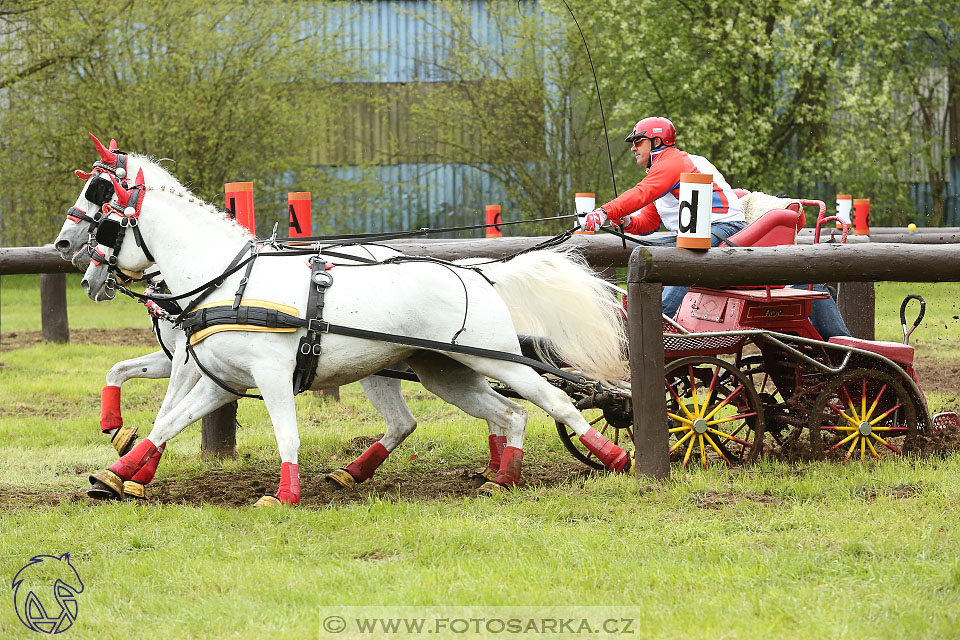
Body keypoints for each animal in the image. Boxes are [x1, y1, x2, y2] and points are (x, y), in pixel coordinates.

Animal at [77, 156, 632, 504]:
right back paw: (500, 478)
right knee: (506, 414)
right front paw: (117, 475)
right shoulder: (224, 381)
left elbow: (286, 434)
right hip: (443, 371)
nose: (85, 273)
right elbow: (167, 422)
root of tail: (476, 272)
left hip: (494, 357)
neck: (229, 282)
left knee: (554, 401)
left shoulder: (270, 375)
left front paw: (285, 496)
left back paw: (615, 455)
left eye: (104, 220)